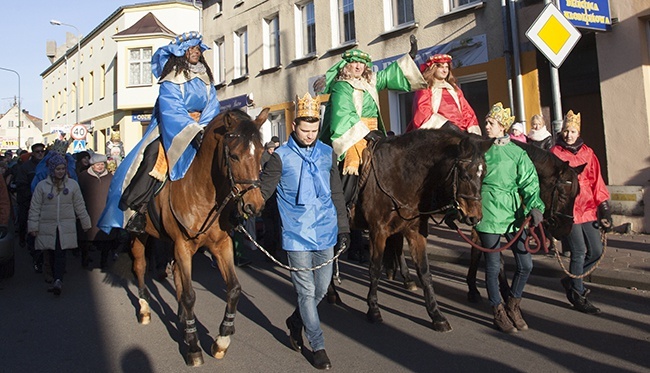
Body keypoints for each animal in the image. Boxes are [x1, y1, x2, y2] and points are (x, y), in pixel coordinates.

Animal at [132, 107, 266, 364]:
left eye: (261, 153)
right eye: (234, 156)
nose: (254, 205)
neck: (202, 193)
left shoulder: (221, 245)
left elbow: (234, 289)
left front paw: (221, 340)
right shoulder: (183, 246)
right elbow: (190, 295)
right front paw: (194, 346)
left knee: (175, 275)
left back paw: (182, 321)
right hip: (138, 236)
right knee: (140, 265)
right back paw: (144, 309)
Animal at [350, 129, 492, 332]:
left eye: (484, 174)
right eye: (465, 175)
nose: (475, 218)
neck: (399, 173)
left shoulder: (415, 230)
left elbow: (425, 272)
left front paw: (436, 315)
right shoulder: (378, 231)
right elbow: (374, 269)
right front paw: (373, 308)